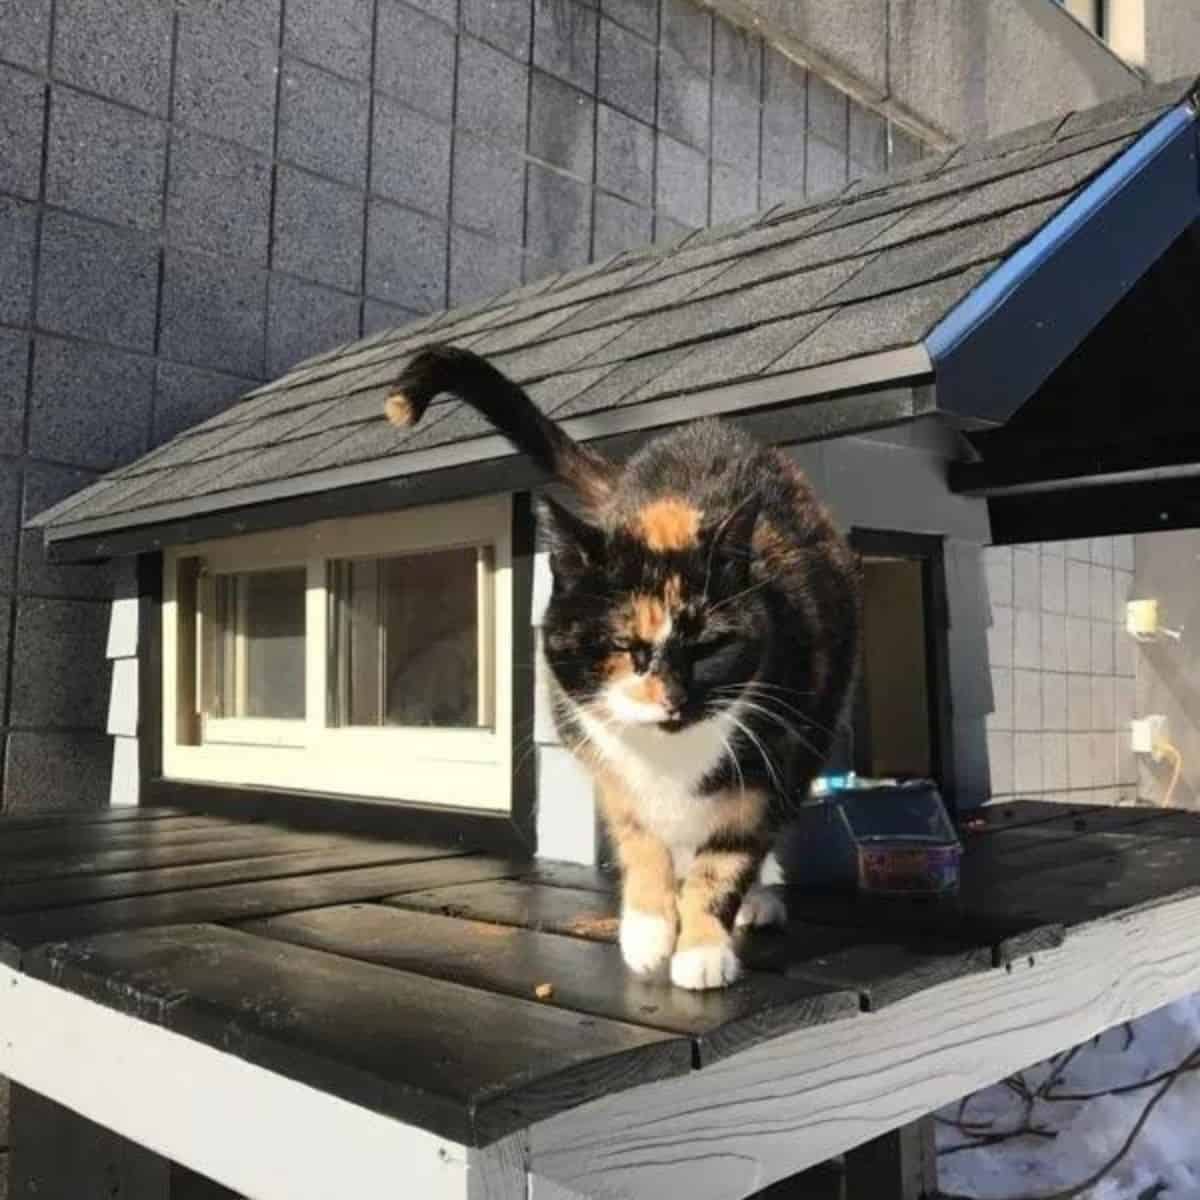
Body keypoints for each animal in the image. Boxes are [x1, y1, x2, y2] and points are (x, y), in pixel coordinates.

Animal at [388, 343, 859, 988]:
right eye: (624, 647)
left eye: (708, 646)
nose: (674, 698)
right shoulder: (599, 753)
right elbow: (639, 836)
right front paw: (649, 928)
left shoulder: (775, 750)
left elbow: (728, 856)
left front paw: (702, 947)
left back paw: (758, 900)